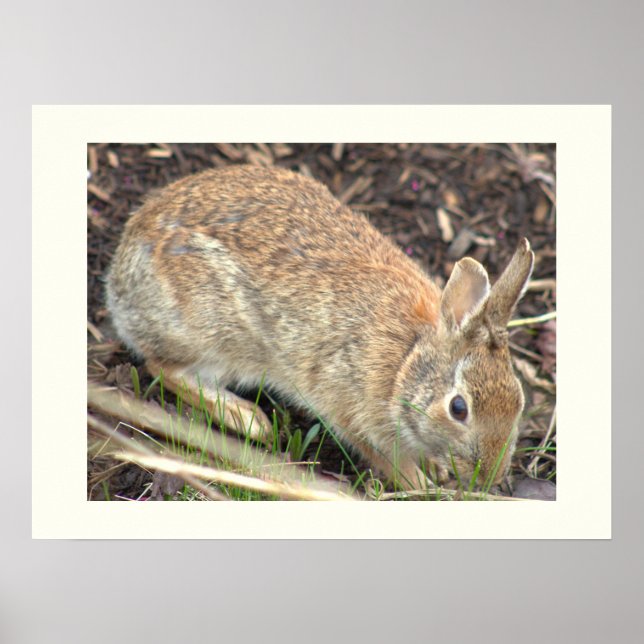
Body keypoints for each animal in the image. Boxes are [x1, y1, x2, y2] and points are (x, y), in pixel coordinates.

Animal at [106, 164, 534, 490]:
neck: (407, 360)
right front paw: (421, 484)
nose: (491, 478)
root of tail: (119, 277)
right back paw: (249, 420)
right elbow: (385, 457)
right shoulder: (355, 414)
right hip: (210, 335)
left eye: (519, 401)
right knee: (163, 367)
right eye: (458, 408)